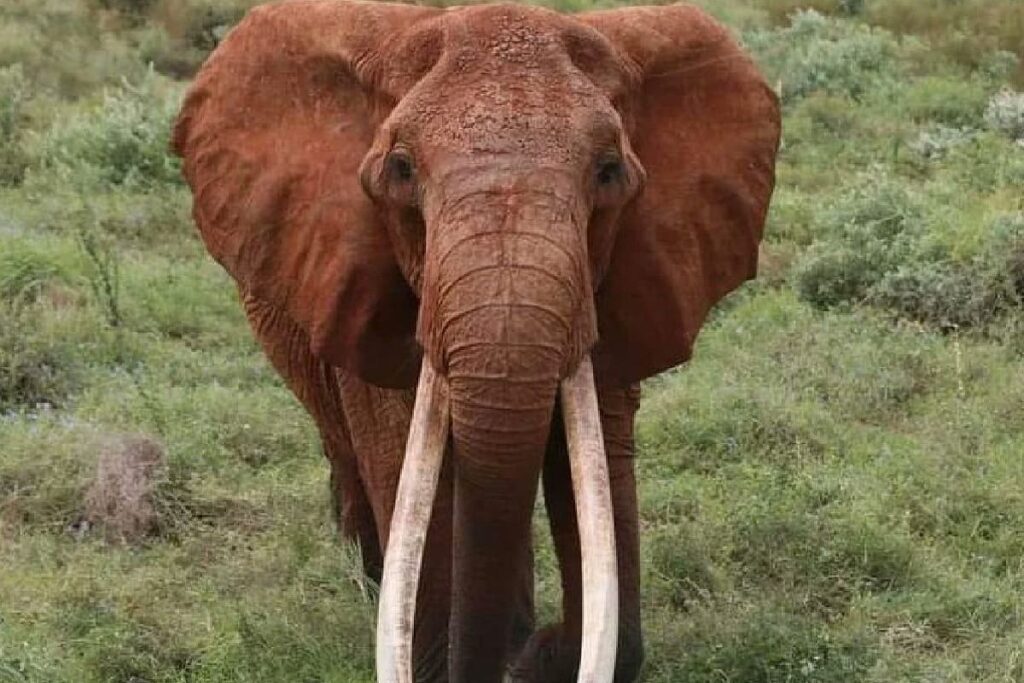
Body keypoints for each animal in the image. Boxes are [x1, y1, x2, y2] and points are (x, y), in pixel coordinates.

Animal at [171, 1, 780, 681]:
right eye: (401, 170)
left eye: (609, 172)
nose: (541, 647)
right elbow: (405, 456)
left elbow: (586, 455)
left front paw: (548, 655)